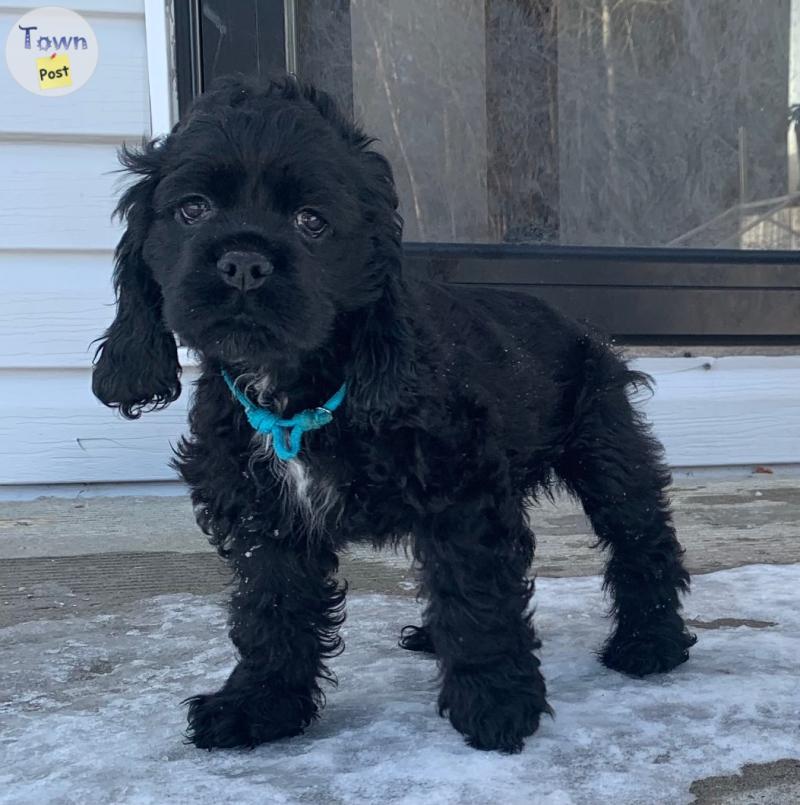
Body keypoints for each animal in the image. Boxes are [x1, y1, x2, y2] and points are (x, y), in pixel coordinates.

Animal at [92, 75, 692, 752]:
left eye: (312, 221)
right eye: (193, 209)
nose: (243, 263)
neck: (296, 391)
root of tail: (576, 321)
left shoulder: (462, 490)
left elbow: (477, 595)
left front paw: (495, 703)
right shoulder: (264, 514)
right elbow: (271, 607)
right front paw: (259, 705)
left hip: (606, 446)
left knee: (642, 538)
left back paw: (650, 643)